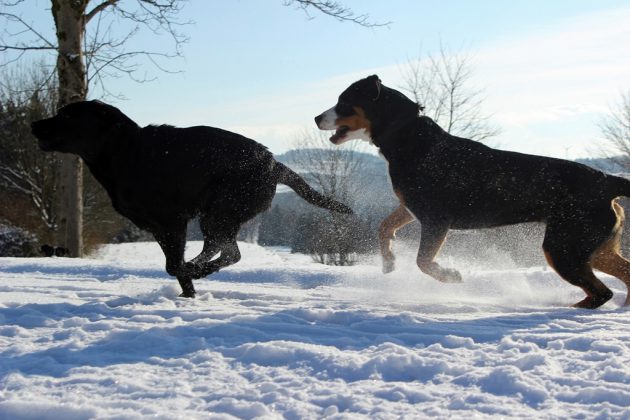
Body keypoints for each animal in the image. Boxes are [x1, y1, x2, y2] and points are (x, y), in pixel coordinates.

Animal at [32, 101, 354, 298]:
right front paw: (188, 295)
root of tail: (274, 164)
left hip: (219, 212)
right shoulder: (160, 228)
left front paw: (189, 283)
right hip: (216, 216)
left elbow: (174, 266)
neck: (124, 152)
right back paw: (197, 268)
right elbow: (173, 266)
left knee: (229, 253)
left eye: (67, 116)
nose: (34, 124)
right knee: (220, 249)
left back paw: (198, 269)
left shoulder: (172, 222)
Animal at [318, 74, 630, 308]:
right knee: (620, 277)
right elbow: (385, 227)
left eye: (344, 102)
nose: (316, 118)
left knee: (601, 293)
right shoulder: (410, 208)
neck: (406, 135)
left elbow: (423, 261)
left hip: (564, 247)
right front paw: (388, 262)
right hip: (592, 247)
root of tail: (606, 181)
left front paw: (449, 276)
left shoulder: (436, 219)